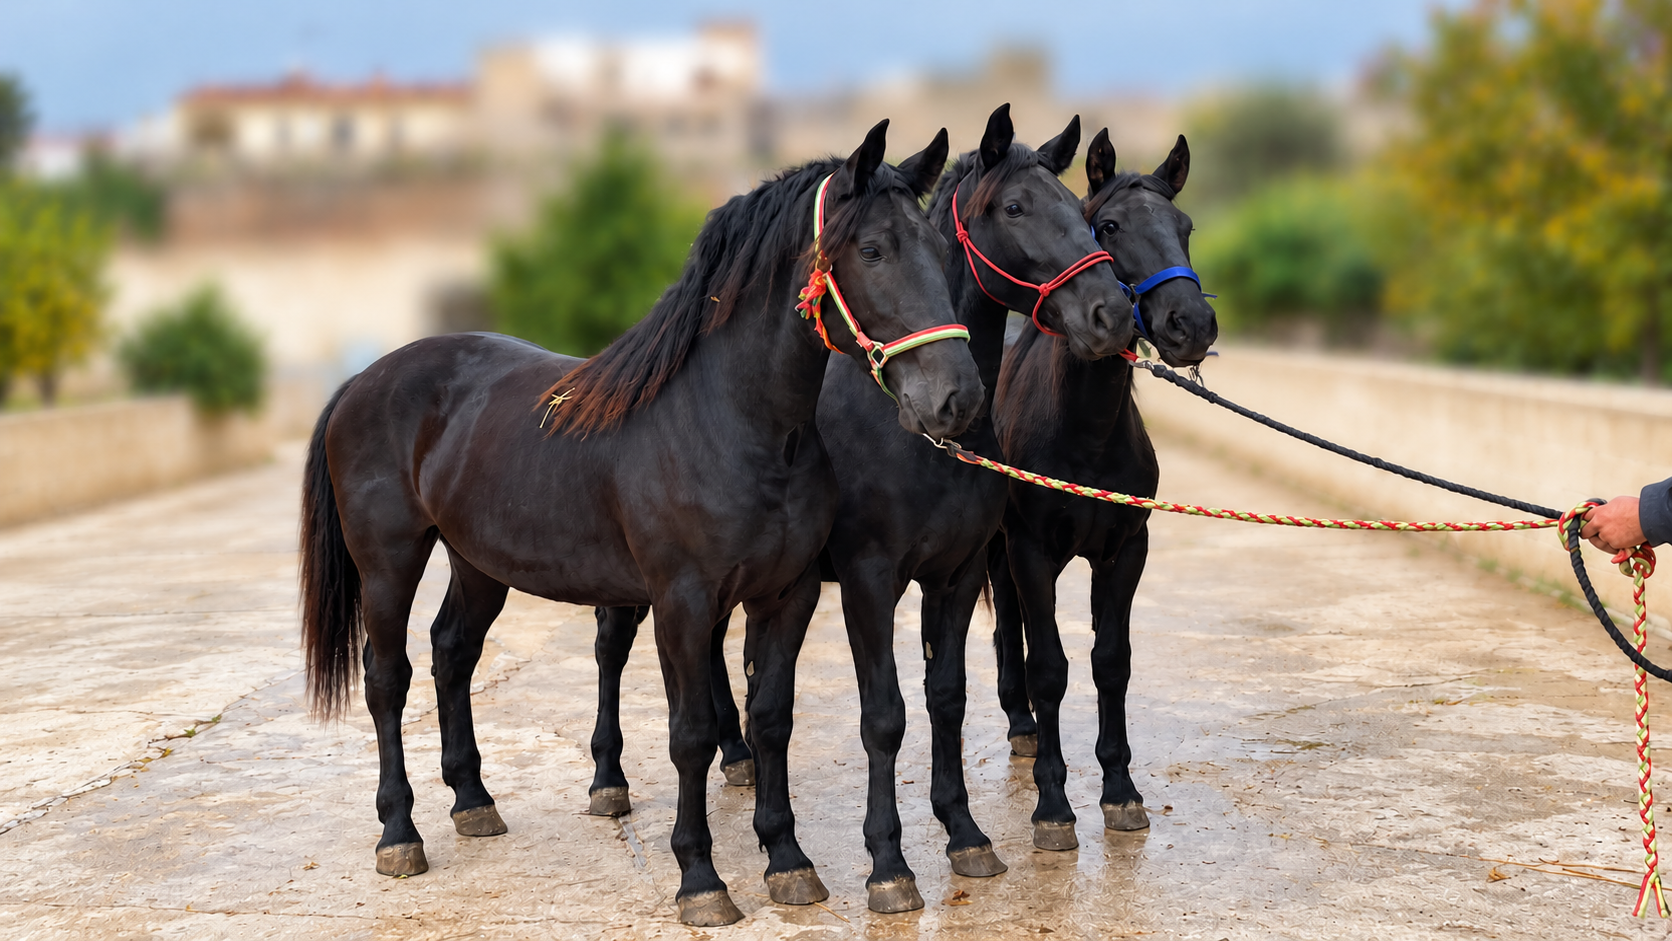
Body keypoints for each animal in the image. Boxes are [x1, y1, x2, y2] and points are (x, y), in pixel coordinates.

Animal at [297, 120, 985, 927]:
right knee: (387, 678)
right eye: (873, 250)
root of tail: (362, 379)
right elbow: (690, 735)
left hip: (478, 564)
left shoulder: (786, 596)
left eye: (937, 245)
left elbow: (770, 718)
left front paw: (788, 861)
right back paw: (400, 834)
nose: (958, 398)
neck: (732, 422)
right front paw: (702, 880)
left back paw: (473, 801)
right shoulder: (681, 602)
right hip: (388, 562)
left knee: (452, 653)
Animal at [587, 104, 1136, 913]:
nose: (1110, 315)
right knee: (614, 649)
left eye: (1082, 212)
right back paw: (610, 778)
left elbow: (945, 697)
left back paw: (736, 755)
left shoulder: (955, 575)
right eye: (1015, 208)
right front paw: (889, 862)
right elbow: (884, 716)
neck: (913, 437)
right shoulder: (869, 580)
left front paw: (964, 833)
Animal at [988, 130, 1218, 850]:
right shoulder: (1030, 549)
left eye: (1185, 226)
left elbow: (1111, 659)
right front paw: (1054, 805)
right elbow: (1050, 665)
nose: (1190, 324)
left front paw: (1120, 791)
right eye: (1109, 226)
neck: (1084, 432)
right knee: (1009, 627)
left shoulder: (1125, 550)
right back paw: (1024, 727)